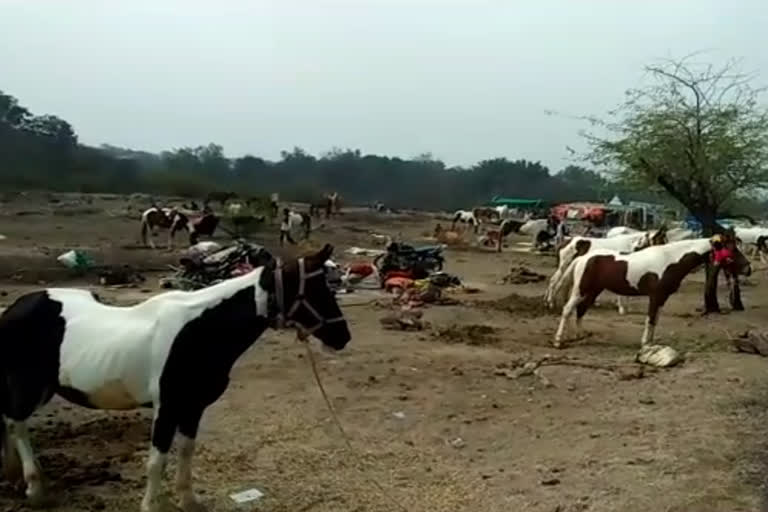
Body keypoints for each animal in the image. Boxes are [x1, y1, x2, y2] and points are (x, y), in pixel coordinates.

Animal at [552, 238, 752, 350]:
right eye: (731, 249)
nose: (748, 269)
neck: (671, 260)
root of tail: (583, 258)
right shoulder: (655, 296)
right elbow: (649, 319)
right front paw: (645, 344)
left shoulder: (662, 298)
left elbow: (655, 320)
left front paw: (650, 343)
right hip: (581, 290)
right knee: (568, 309)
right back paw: (558, 341)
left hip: (593, 291)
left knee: (581, 310)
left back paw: (580, 335)